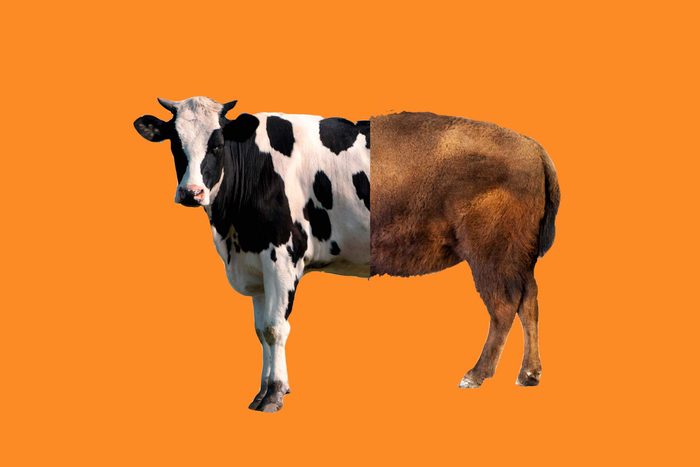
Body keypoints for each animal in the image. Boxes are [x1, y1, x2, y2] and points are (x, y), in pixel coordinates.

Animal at [133, 96, 559, 412]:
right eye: (175, 142)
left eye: (217, 143)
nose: (191, 192)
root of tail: (529, 144)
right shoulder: (255, 265)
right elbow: (260, 330)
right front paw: (265, 390)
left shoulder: (282, 256)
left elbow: (275, 328)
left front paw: (273, 394)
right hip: (519, 255)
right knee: (530, 301)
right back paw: (529, 373)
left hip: (492, 251)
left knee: (504, 307)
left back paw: (477, 373)